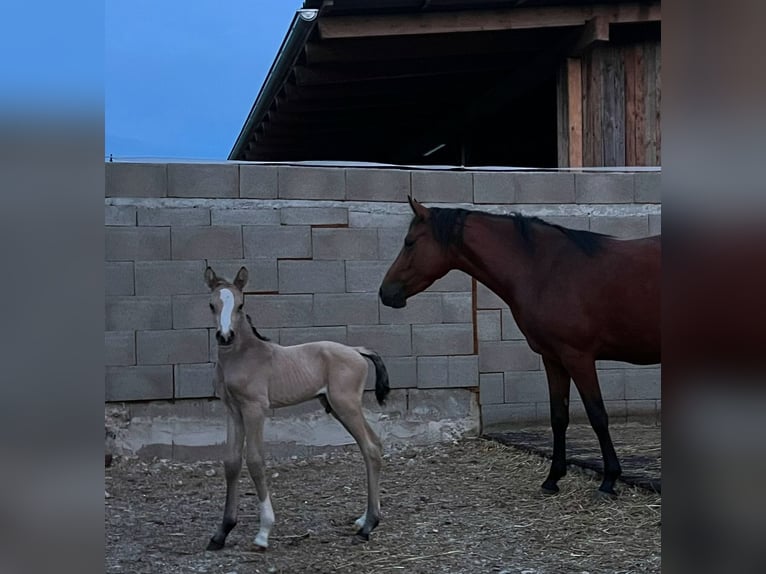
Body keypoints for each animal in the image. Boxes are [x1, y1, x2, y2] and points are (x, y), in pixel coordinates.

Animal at [204, 268, 390, 552]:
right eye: (212, 304)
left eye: (241, 304)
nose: (225, 336)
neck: (242, 357)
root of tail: (356, 351)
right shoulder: (233, 411)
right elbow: (232, 462)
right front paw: (221, 532)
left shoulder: (255, 409)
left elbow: (255, 461)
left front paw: (263, 533)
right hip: (339, 407)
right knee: (374, 445)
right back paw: (364, 519)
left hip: (345, 405)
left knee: (370, 448)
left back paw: (368, 527)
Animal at [380, 197, 664, 496]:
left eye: (410, 242)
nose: (386, 292)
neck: (545, 269)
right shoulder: (553, 358)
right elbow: (558, 417)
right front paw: (553, 478)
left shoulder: (578, 357)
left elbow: (597, 415)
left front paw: (609, 480)